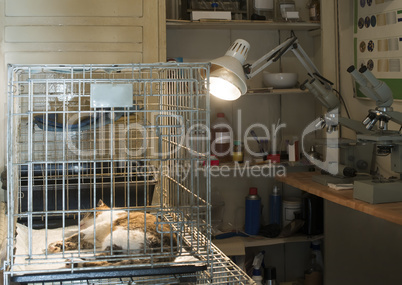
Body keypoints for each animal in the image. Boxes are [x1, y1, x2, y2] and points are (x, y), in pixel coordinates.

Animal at [48, 201, 177, 266]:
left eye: (87, 214)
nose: (79, 223)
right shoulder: (94, 241)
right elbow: (79, 242)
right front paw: (59, 246)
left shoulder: (100, 226)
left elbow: (77, 235)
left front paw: (54, 244)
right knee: (108, 261)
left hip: (117, 236)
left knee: (105, 258)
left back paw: (75, 261)